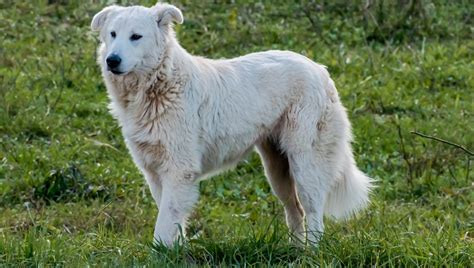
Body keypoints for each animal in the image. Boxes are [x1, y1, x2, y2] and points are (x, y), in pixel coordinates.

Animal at [91, 2, 370, 246]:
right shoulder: (154, 171)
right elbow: (172, 221)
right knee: (295, 211)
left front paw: (161, 255)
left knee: (313, 212)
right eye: (113, 34)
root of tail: (320, 70)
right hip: (276, 168)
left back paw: (311, 254)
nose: (112, 60)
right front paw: (177, 252)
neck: (159, 85)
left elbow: (164, 224)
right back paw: (295, 252)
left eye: (136, 36)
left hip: (305, 162)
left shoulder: (179, 170)